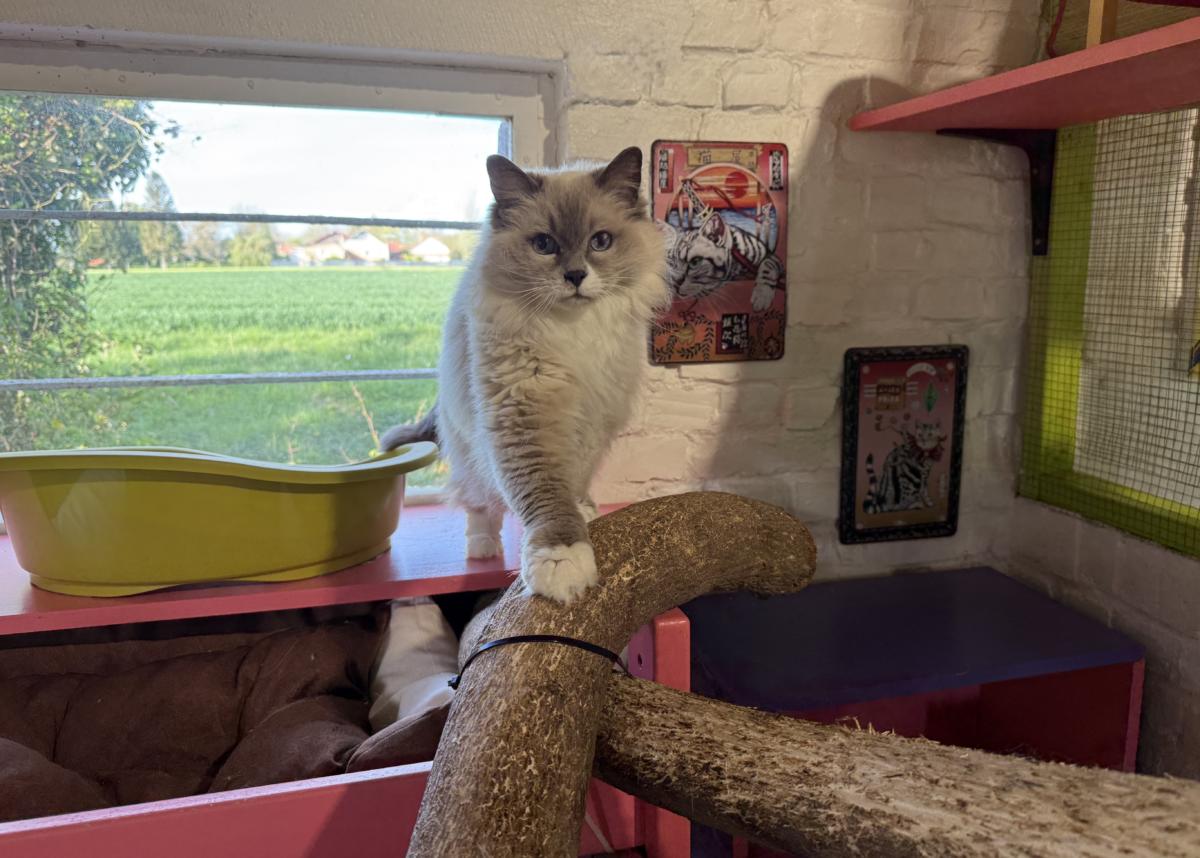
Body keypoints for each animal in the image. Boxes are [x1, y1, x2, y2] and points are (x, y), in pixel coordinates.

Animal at [381, 147, 668, 603]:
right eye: (544, 244)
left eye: (600, 241)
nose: (575, 276)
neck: (573, 332)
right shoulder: (524, 410)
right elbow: (546, 498)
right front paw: (562, 566)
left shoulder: (593, 418)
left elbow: (571, 484)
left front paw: (582, 513)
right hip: (469, 451)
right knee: (479, 506)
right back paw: (483, 548)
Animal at [661, 179, 784, 311]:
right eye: (671, 263)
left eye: (695, 262)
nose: (675, 283)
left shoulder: (771, 256)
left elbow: (767, 267)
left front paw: (762, 294)